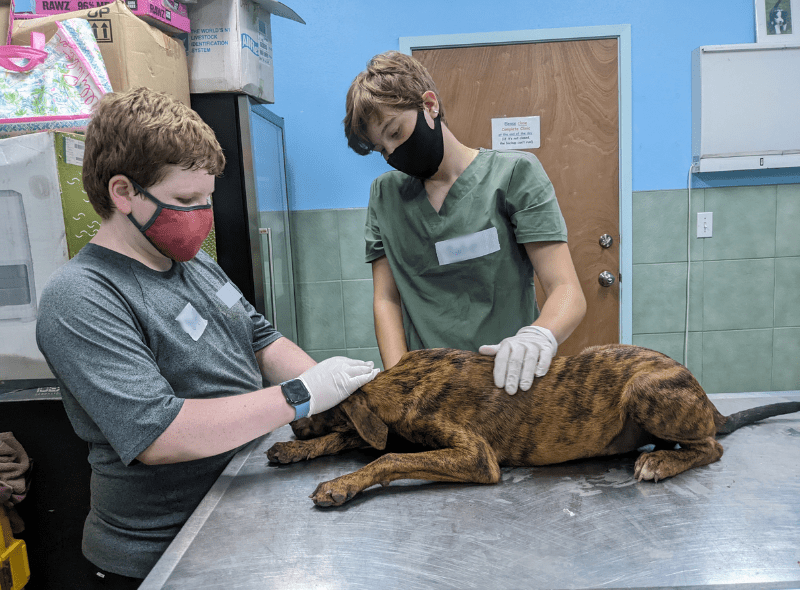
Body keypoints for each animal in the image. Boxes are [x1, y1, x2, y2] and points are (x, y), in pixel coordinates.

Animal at [268, 346, 800, 508]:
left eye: (320, 404)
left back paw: (661, 463)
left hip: (644, 390)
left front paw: (341, 484)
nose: (292, 426)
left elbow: (389, 456)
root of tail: (707, 401)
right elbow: (349, 438)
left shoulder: (475, 456)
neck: (405, 378)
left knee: (711, 446)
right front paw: (293, 452)